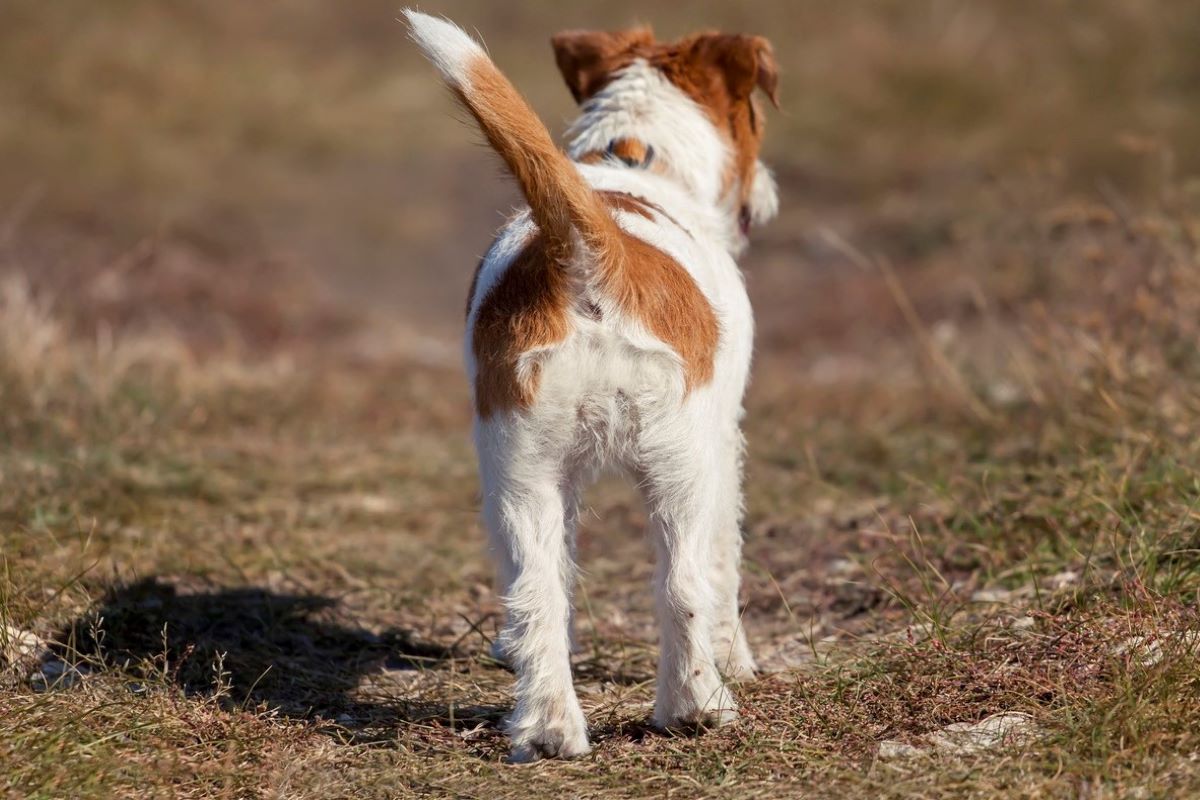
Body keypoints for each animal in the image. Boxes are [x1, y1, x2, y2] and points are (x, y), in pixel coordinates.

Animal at [403, 10, 777, 762]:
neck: (633, 155)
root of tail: (586, 251)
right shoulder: (726, 440)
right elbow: (726, 562)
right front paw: (738, 659)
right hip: (683, 464)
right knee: (683, 584)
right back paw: (698, 708)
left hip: (520, 471)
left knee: (538, 593)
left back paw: (548, 729)